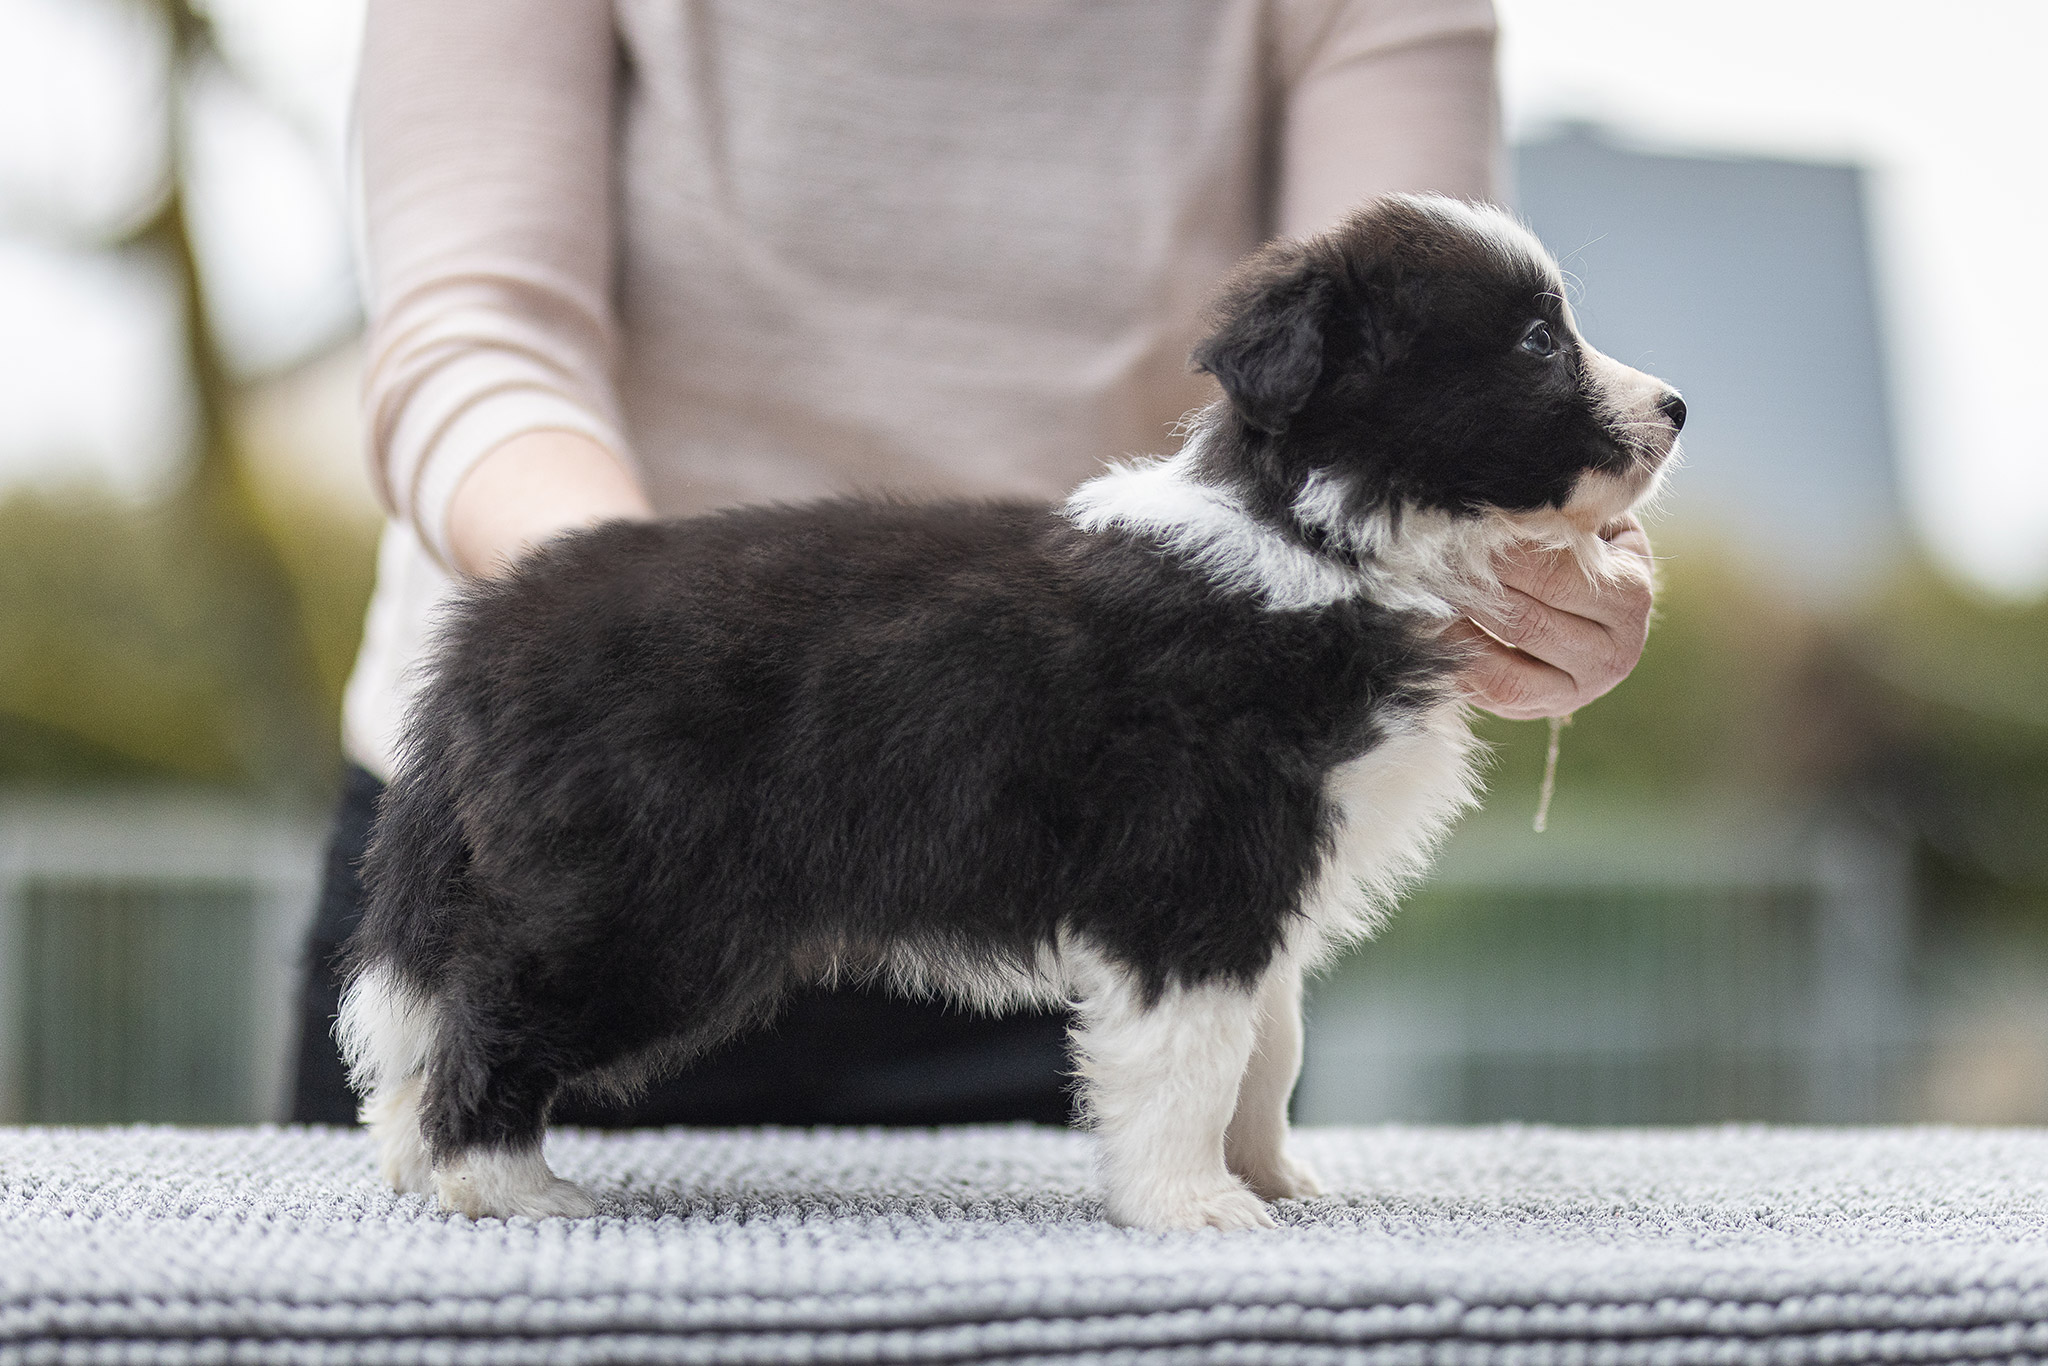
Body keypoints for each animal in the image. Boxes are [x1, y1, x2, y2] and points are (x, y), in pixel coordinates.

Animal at [335, 197, 1679, 1236]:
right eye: (1534, 340)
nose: (1674, 407)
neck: (1324, 543)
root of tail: (492, 629)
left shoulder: (1272, 875)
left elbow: (1269, 1045)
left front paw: (1271, 1176)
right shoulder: (1193, 870)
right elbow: (1195, 1052)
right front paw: (1190, 1203)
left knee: (438, 1007)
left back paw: (412, 1158)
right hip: (645, 904)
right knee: (496, 1011)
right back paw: (500, 1181)